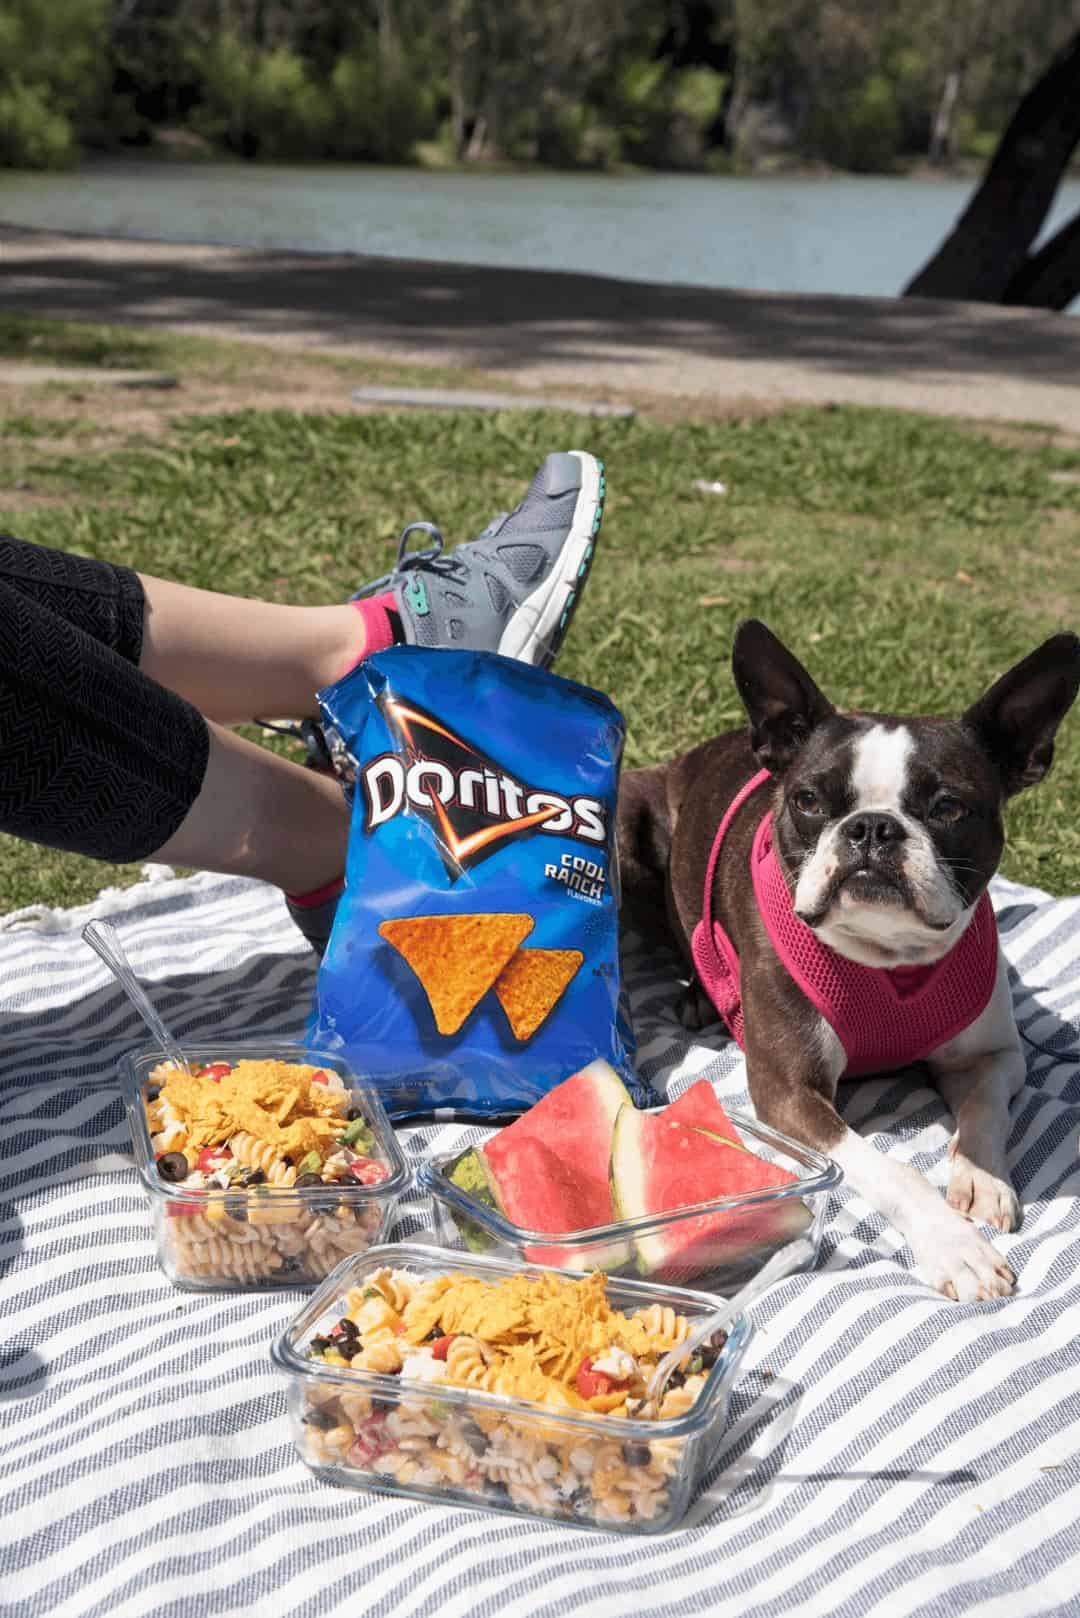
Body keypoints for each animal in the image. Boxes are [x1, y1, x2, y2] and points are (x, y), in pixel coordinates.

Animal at [615, 618, 1080, 1300]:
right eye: (808, 800)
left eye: (948, 807)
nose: (872, 828)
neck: (889, 961)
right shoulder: (787, 1091)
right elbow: (891, 1170)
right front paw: (955, 1247)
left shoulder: (995, 1055)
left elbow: (983, 1110)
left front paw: (983, 1178)